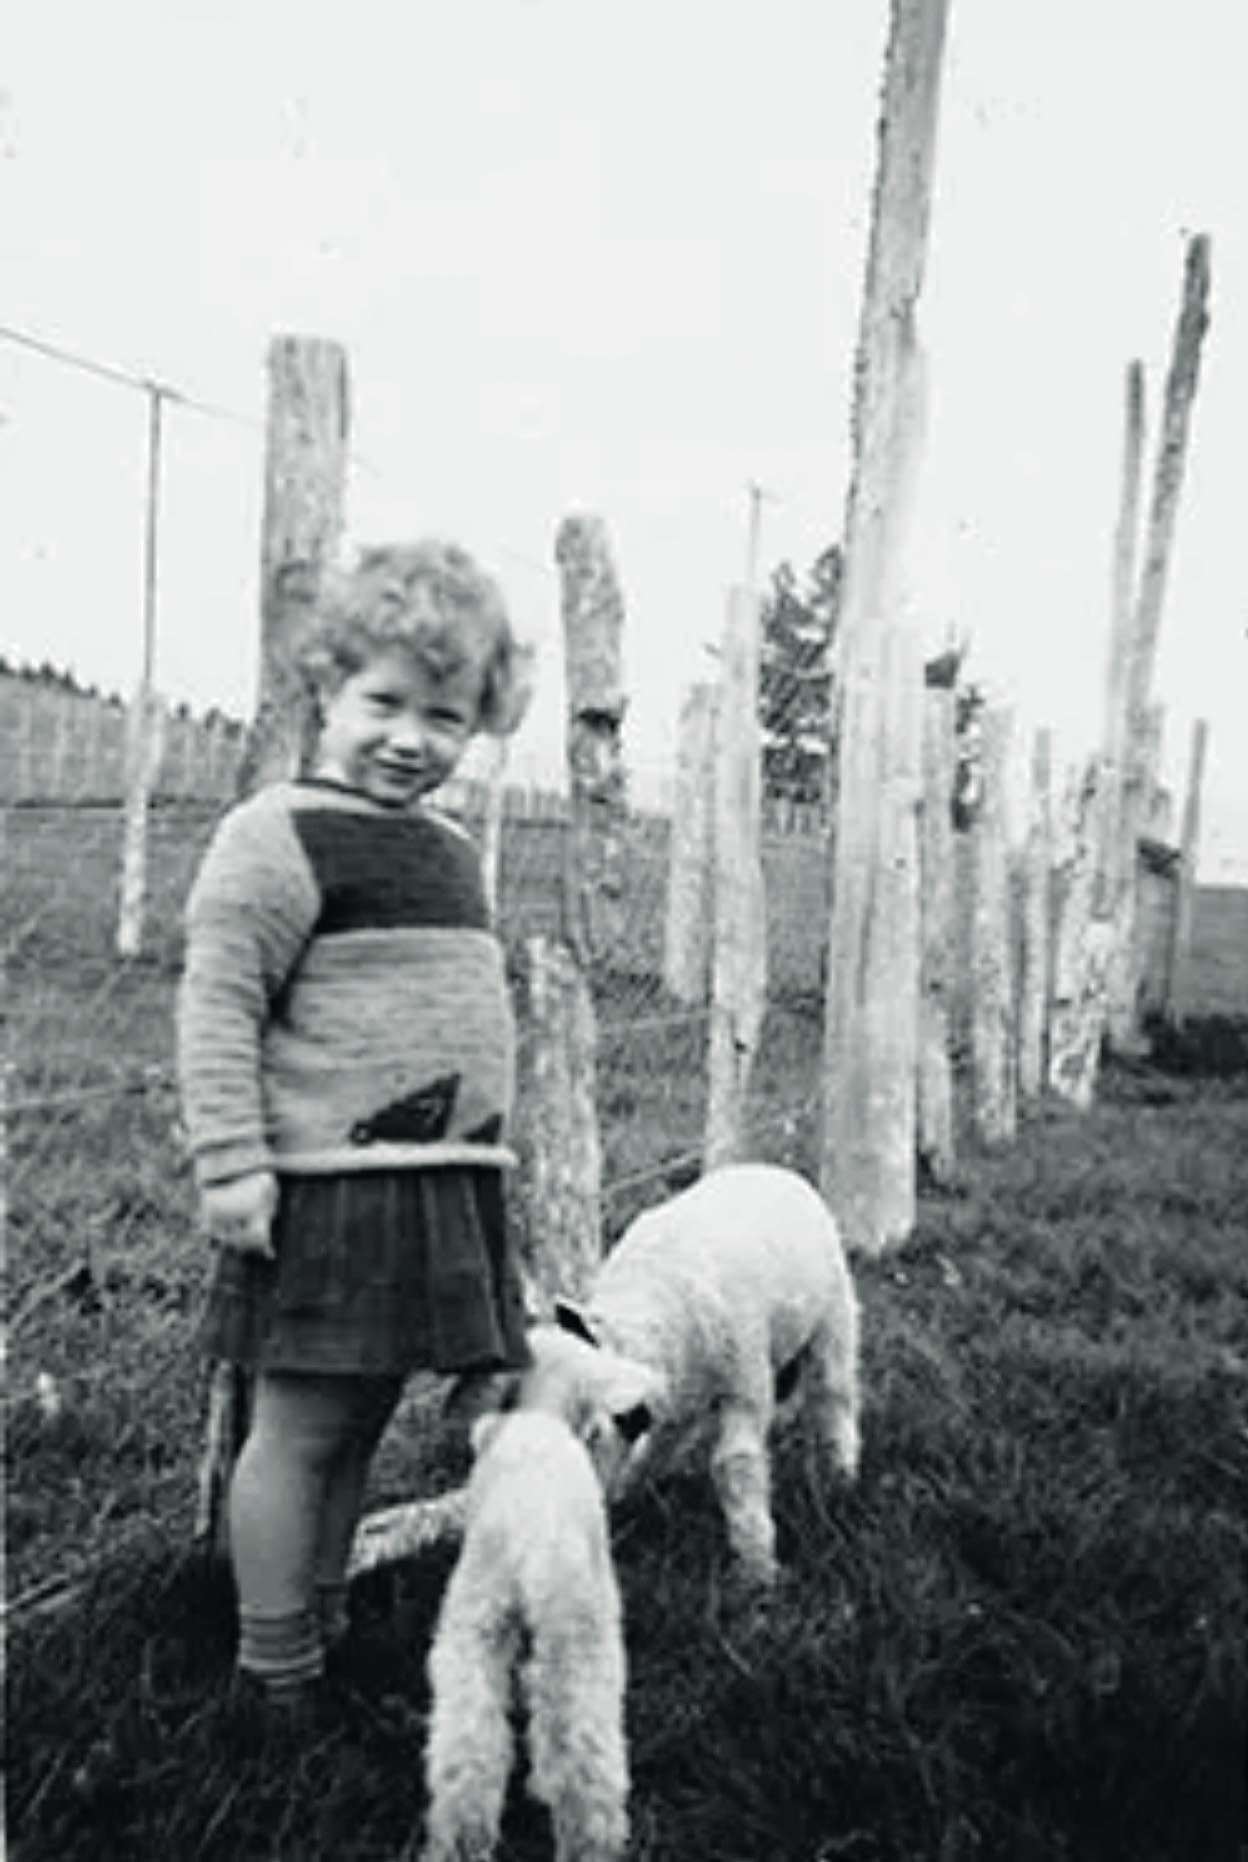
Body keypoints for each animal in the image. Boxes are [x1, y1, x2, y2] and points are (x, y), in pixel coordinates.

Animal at [532, 1161, 864, 1586]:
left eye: (593, 1434)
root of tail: (774, 1169)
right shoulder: (677, 1400)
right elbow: (656, 1450)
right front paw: (631, 1493)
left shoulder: (744, 1385)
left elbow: (735, 1465)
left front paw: (756, 1568)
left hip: (834, 1318)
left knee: (833, 1396)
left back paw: (840, 1476)